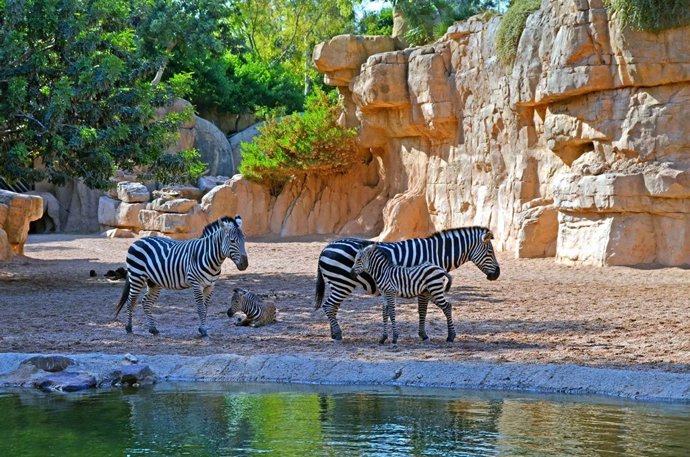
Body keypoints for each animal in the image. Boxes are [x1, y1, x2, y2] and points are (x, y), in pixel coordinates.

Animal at [114, 215, 248, 337]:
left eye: (244, 240)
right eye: (232, 241)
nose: (245, 264)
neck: (209, 257)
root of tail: (138, 240)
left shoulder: (210, 286)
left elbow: (205, 309)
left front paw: (202, 327)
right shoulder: (196, 284)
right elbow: (201, 308)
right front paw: (203, 330)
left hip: (153, 281)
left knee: (146, 302)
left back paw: (153, 329)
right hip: (136, 276)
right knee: (131, 301)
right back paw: (129, 328)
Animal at [315, 226, 500, 341]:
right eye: (490, 251)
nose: (497, 274)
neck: (436, 253)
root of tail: (326, 247)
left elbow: (422, 310)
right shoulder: (425, 284)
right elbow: (422, 310)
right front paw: (423, 334)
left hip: (337, 284)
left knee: (332, 307)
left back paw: (333, 333)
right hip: (342, 282)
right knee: (329, 306)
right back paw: (338, 333)